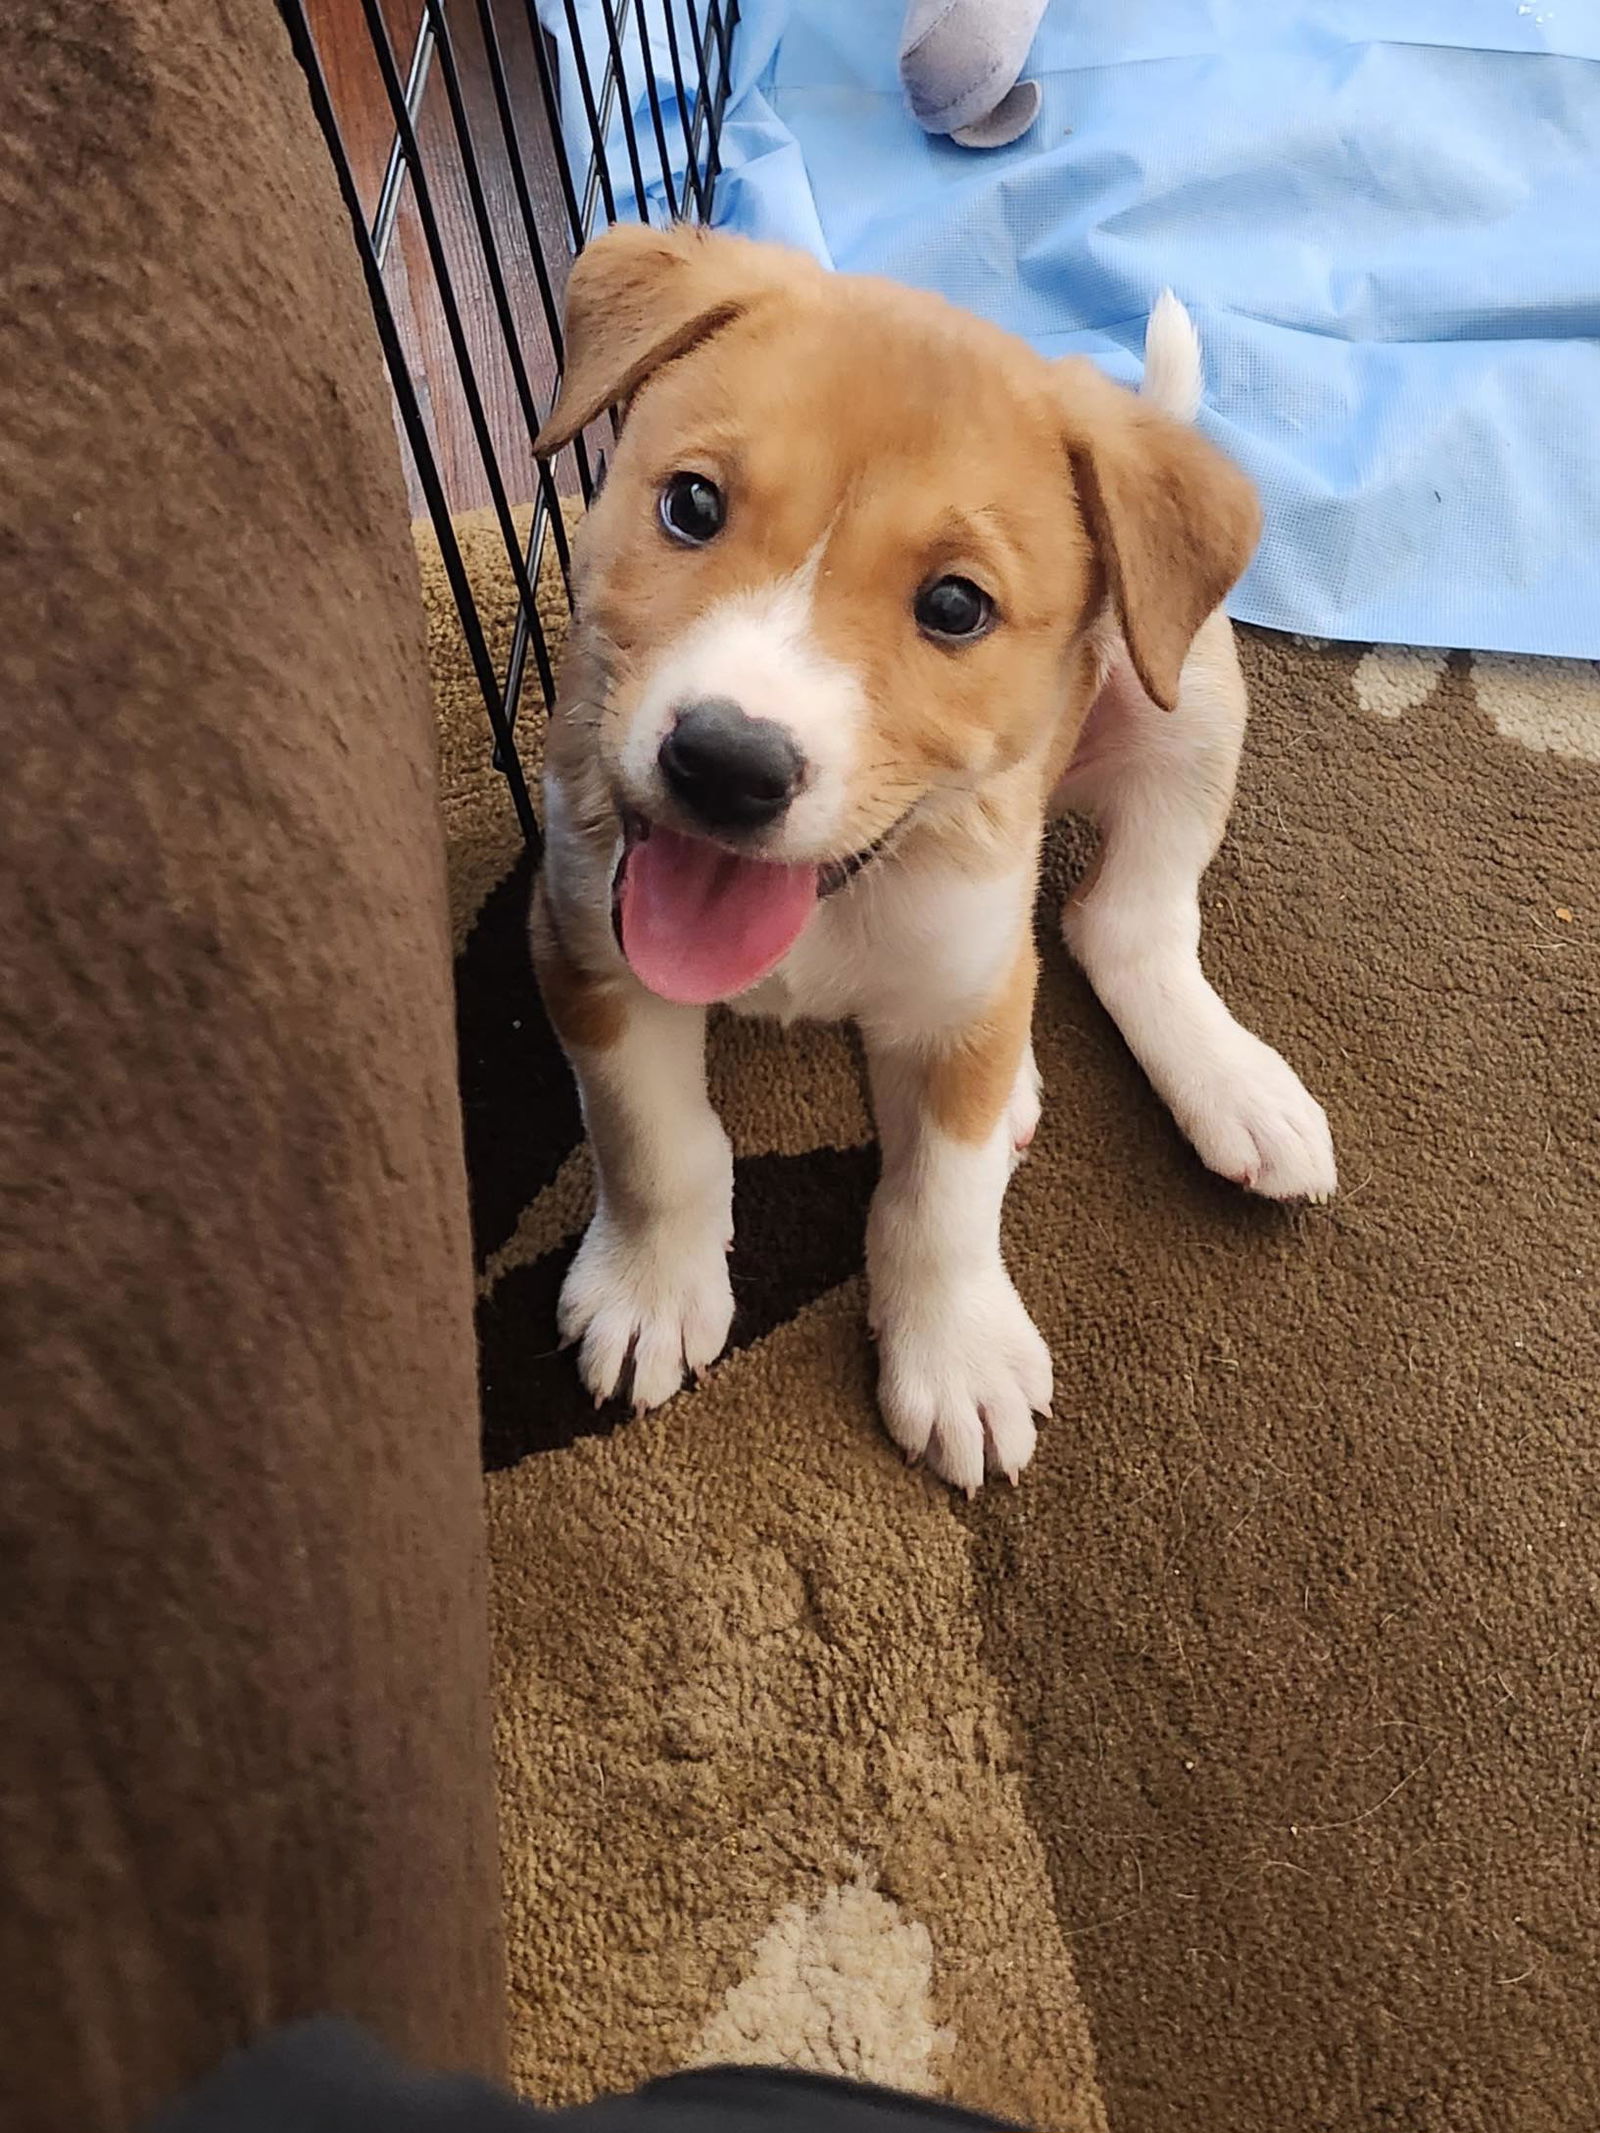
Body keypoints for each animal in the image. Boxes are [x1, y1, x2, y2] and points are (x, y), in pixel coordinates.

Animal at [529, 225, 1339, 1493]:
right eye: (692, 504)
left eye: (956, 606)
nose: (726, 763)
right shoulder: (585, 947)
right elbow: (651, 1140)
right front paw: (651, 1287)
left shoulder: (963, 1000)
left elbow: (941, 1202)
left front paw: (955, 1347)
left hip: (1189, 707)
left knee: (1122, 926)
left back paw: (1228, 1083)